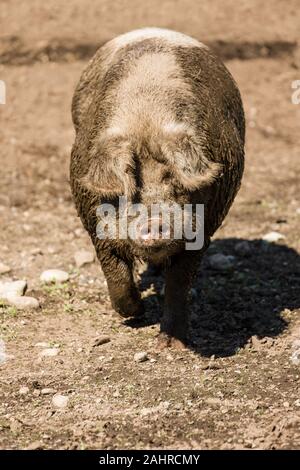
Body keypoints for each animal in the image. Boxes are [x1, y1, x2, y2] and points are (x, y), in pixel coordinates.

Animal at [69, 25, 244, 348]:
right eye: (131, 189)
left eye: (176, 185)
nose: (154, 221)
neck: (146, 122)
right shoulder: (93, 220)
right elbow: (115, 273)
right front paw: (135, 314)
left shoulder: (204, 225)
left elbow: (179, 283)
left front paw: (171, 343)